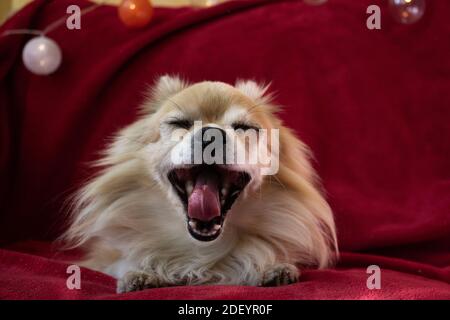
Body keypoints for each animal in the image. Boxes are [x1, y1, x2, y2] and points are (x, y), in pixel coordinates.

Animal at [62, 75, 338, 292]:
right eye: (179, 124)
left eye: (244, 127)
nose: (211, 133)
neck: (201, 249)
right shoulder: (104, 255)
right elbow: (120, 261)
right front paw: (141, 271)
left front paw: (271, 267)